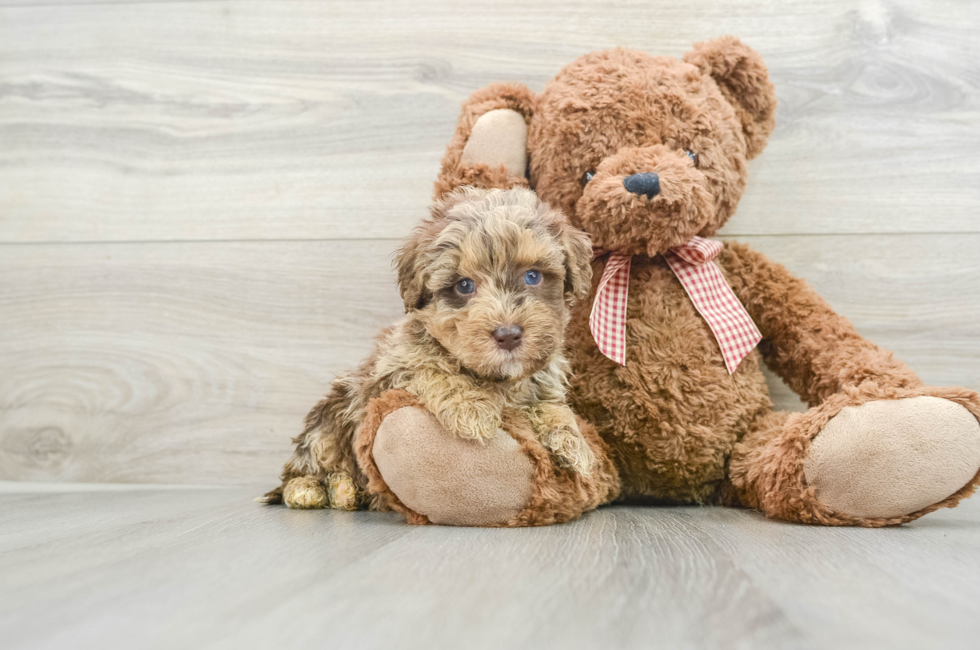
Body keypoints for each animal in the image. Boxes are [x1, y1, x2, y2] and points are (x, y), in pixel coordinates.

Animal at [260, 185, 592, 508]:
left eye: (532, 276)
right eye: (464, 285)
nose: (508, 335)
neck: (495, 377)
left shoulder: (543, 382)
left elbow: (553, 407)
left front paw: (574, 443)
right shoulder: (393, 368)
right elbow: (432, 369)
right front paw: (473, 409)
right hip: (330, 418)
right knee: (305, 464)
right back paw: (316, 489)